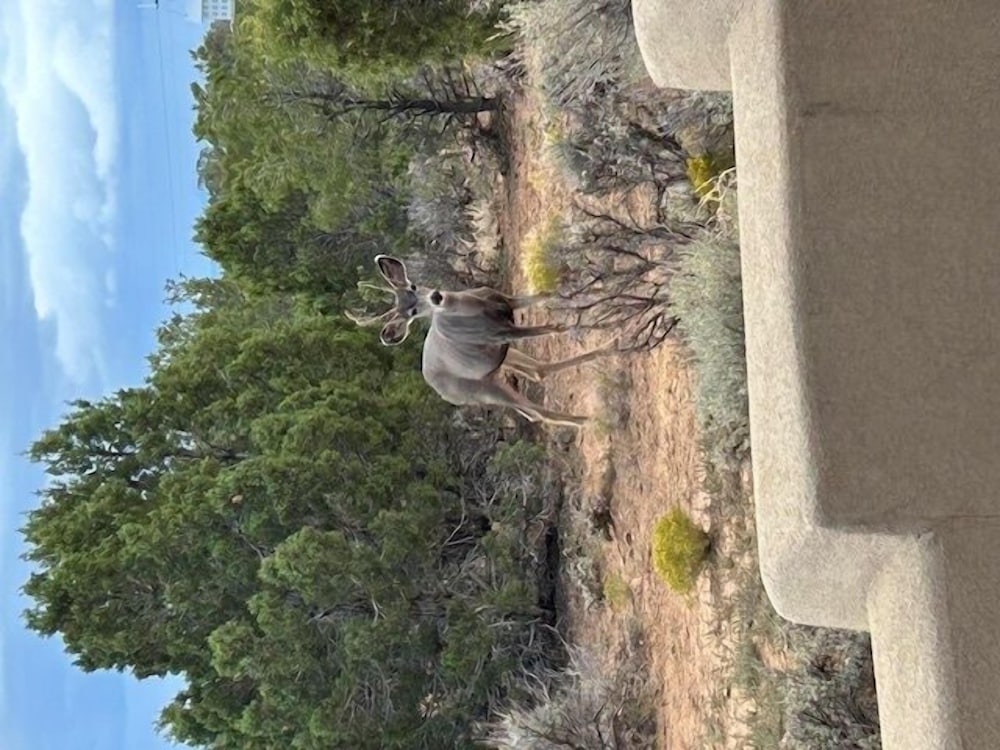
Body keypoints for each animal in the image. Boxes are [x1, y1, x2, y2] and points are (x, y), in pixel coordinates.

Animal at [347, 255, 617, 428]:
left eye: (413, 285)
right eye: (411, 313)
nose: (436, 296)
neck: (475, 308)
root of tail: (439, 390)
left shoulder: (509, 304)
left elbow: (542, 295)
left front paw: (579, 278)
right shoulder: (501, 333)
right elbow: (551, 328)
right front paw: (593, 322)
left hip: (499, 363)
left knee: (537, 374)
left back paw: (608, 349)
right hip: (482, 389)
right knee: (535, 411)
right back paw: (589, 420)